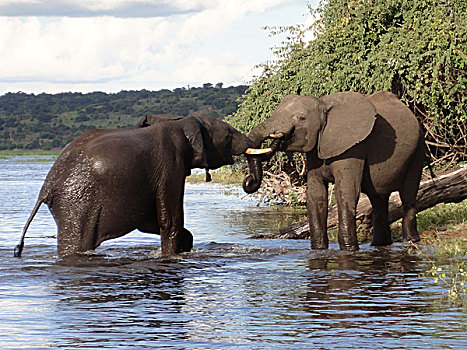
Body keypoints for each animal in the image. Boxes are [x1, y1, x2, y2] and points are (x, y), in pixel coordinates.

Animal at [13, 114, 260, 258]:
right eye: (229, 135)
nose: (248, 181)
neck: (183, 123)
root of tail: (46, 187)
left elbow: (151, 222)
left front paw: (186, 243)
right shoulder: (170, 164)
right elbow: (169, 220)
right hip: (76, 203)